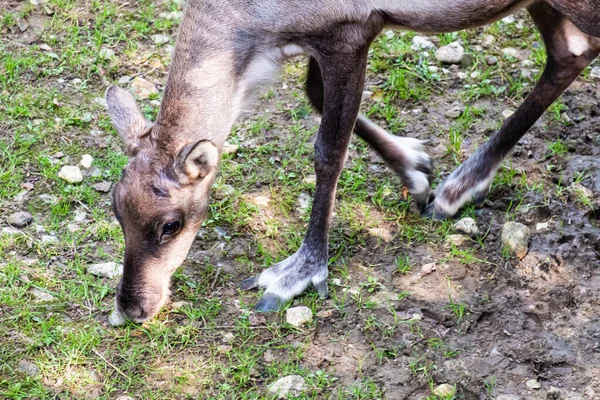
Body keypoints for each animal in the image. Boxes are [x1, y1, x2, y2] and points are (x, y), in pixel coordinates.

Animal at [105, 0, 600, 324]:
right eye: (116, 211)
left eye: (170, 225)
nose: (132, 308)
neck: (252, 41)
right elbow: (315, 96)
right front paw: (415, 168)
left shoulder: (346, 30)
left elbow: (328, 151)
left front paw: (300, 270)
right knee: (570, 51)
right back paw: (458, 185)